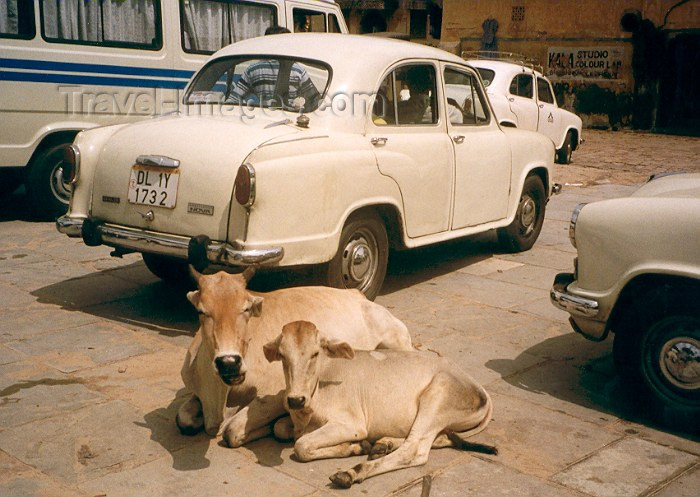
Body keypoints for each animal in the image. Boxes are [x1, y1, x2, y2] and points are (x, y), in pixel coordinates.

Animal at [264, 320, 498, 486]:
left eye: (315, 353)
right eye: (282, 355)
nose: (295, 399)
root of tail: (475, 384)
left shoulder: (352, 424)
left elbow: (301, 446)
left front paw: (354, 447)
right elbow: (278, 428)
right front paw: (359, 446)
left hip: (436, 397)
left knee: (413, 451)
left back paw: (353, 472)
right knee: (438, 439)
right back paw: (382, 444)